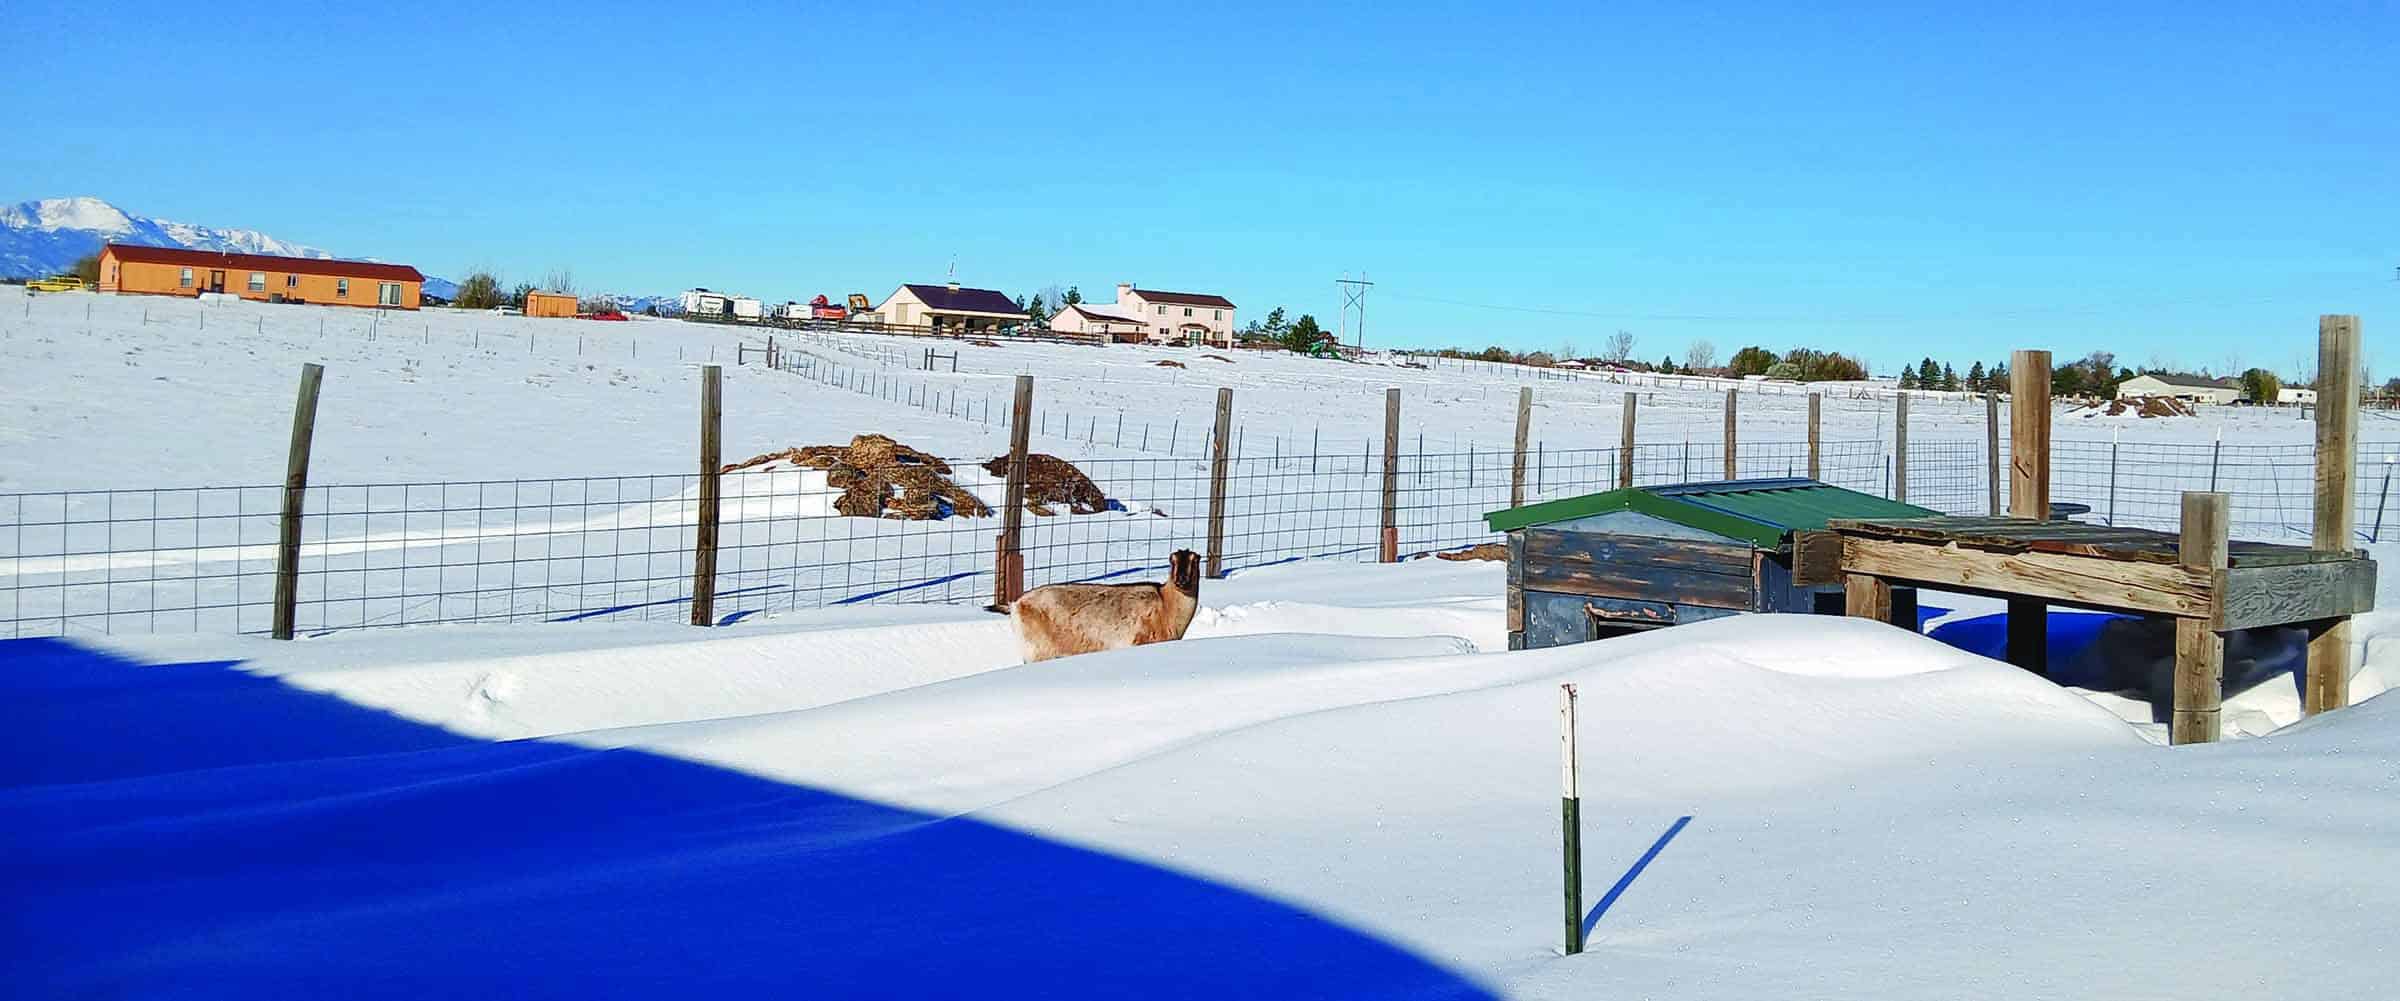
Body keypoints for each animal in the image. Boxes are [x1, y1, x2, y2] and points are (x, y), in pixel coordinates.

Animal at [998, 550, 1202, 663]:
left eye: (1195, 560)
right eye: (1172, 561)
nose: (1181, 580)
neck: (1166, 605)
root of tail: (1016, 604)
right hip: (1038, 650)